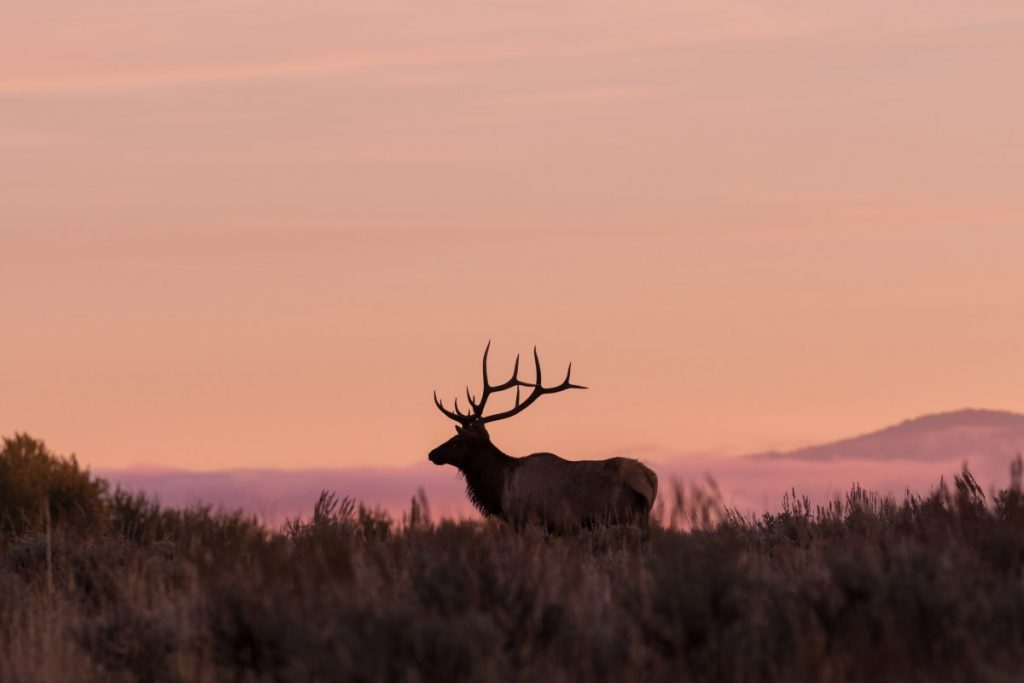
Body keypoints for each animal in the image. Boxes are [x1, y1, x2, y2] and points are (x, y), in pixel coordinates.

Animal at [429, 343, 658, 533]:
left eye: (456, 441)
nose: (432, 454)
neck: (500, 486)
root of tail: (650, 478)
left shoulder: (529, 521)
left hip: (623, 517)